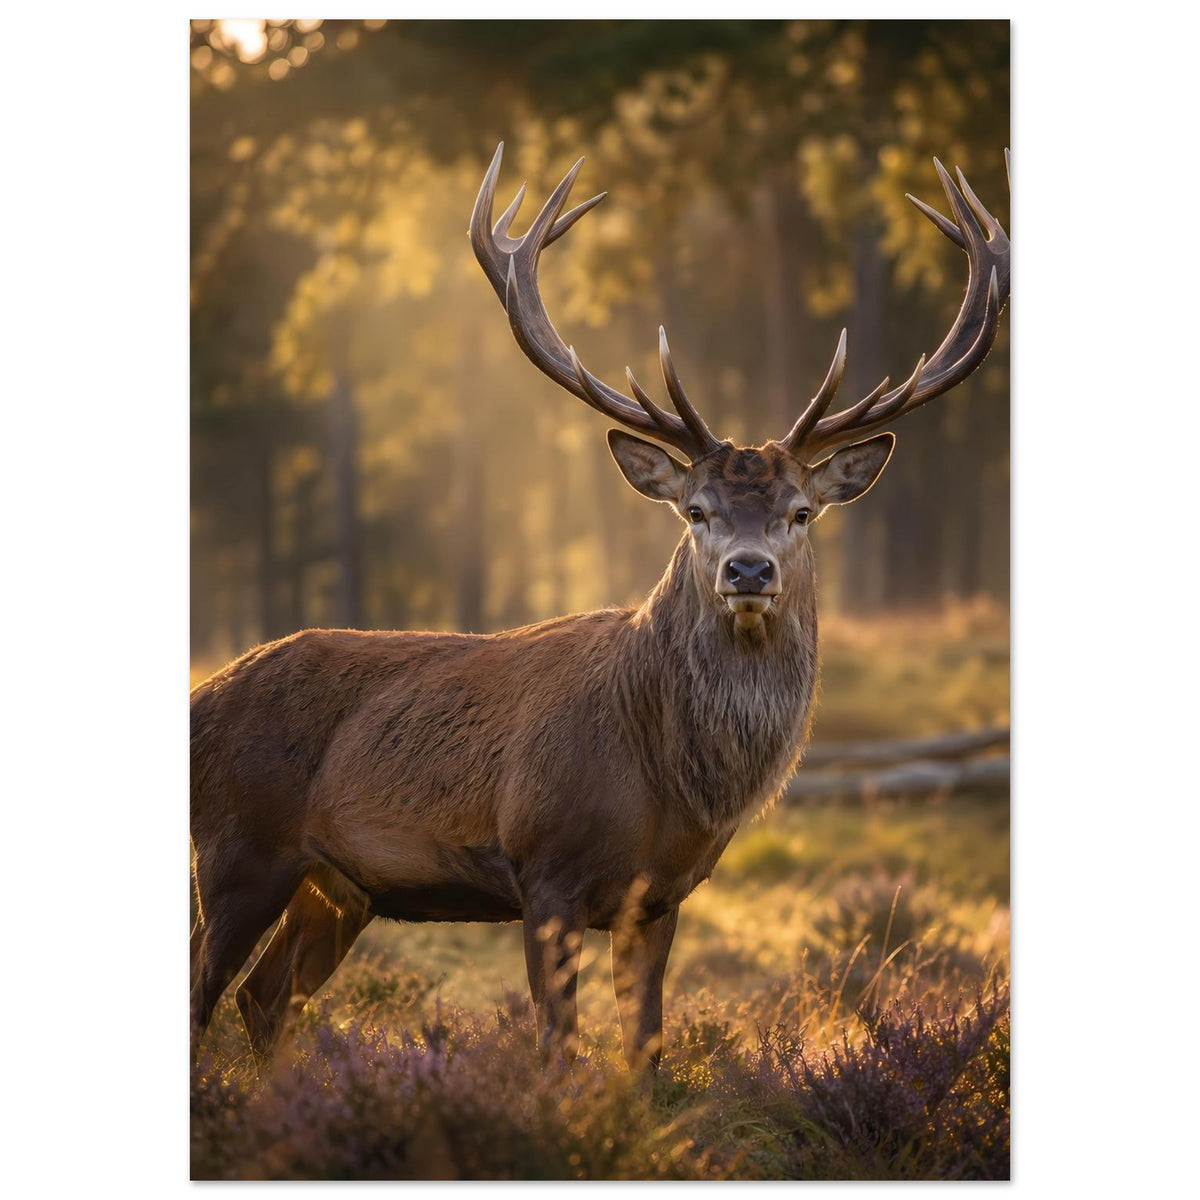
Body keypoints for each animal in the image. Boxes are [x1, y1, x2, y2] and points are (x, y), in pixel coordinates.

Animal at [190, 142, 1009, 1071]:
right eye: (696, 511)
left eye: (802, 512)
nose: (749, 570)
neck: (665, 778)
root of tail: (200, 698)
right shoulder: (544, 869)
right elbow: (555, 1046)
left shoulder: (661, 896)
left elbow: (643, 1049)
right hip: (237, 849)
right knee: (205, 996)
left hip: (341, 884)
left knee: (265, 998)